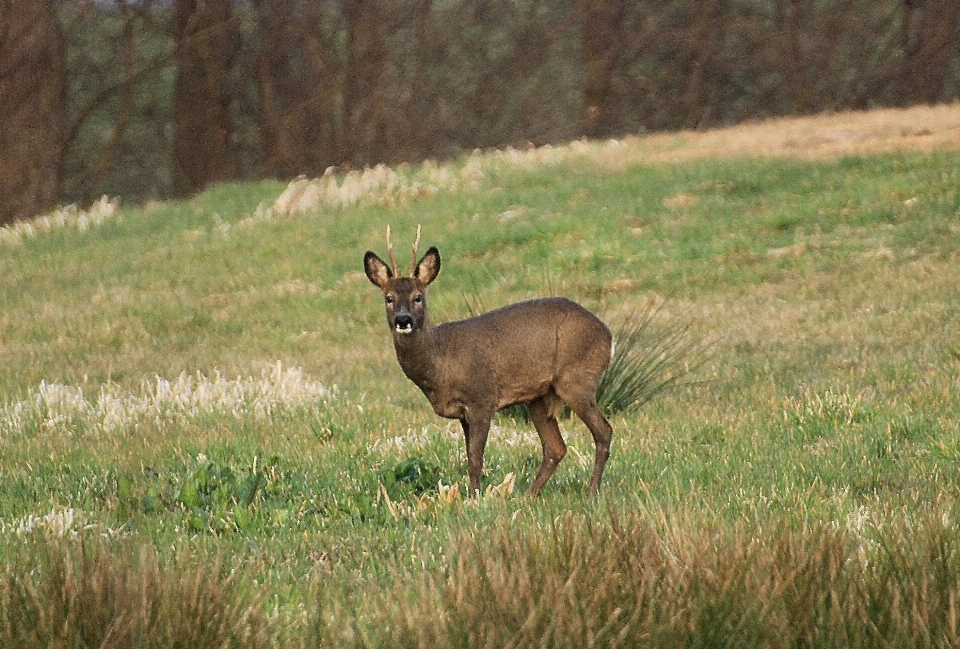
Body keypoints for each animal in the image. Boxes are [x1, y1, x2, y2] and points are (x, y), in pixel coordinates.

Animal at [364, 228, 612, 496]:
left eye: (418, 297)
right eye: (388, 298)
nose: (403, 320)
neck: (442, 362)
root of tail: (608, 336)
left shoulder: (481, 398)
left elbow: (475, 459)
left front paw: (475, 497)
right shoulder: (463, 413)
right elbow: (469, 456)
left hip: (576, 378)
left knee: (603, 431)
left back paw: (592, 491)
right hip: (538, 396)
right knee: (556, 447)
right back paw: (528, 496)